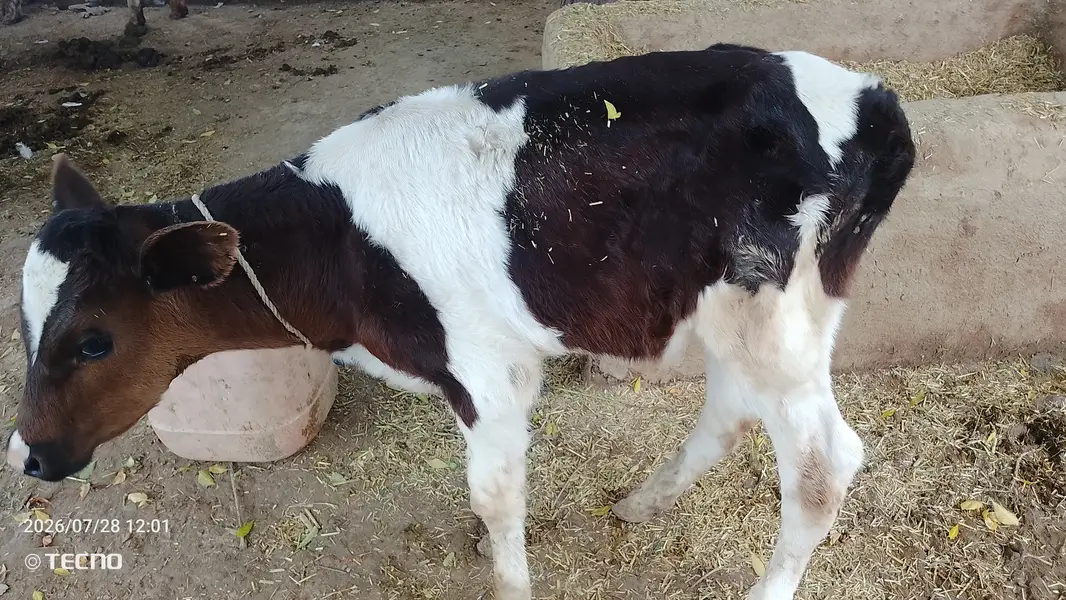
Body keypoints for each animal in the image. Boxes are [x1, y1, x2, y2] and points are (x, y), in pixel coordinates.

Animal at [7, 43, 915, 600]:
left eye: (93, 341)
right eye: (23, 328)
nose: (29, 455)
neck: (340, 243)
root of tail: (873, 99)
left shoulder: (486, 367)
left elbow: (495, 494)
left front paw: (506, 574)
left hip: (774, 311)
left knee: (824, 463)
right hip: (736, 307)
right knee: (730, 410)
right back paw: (641, 504)